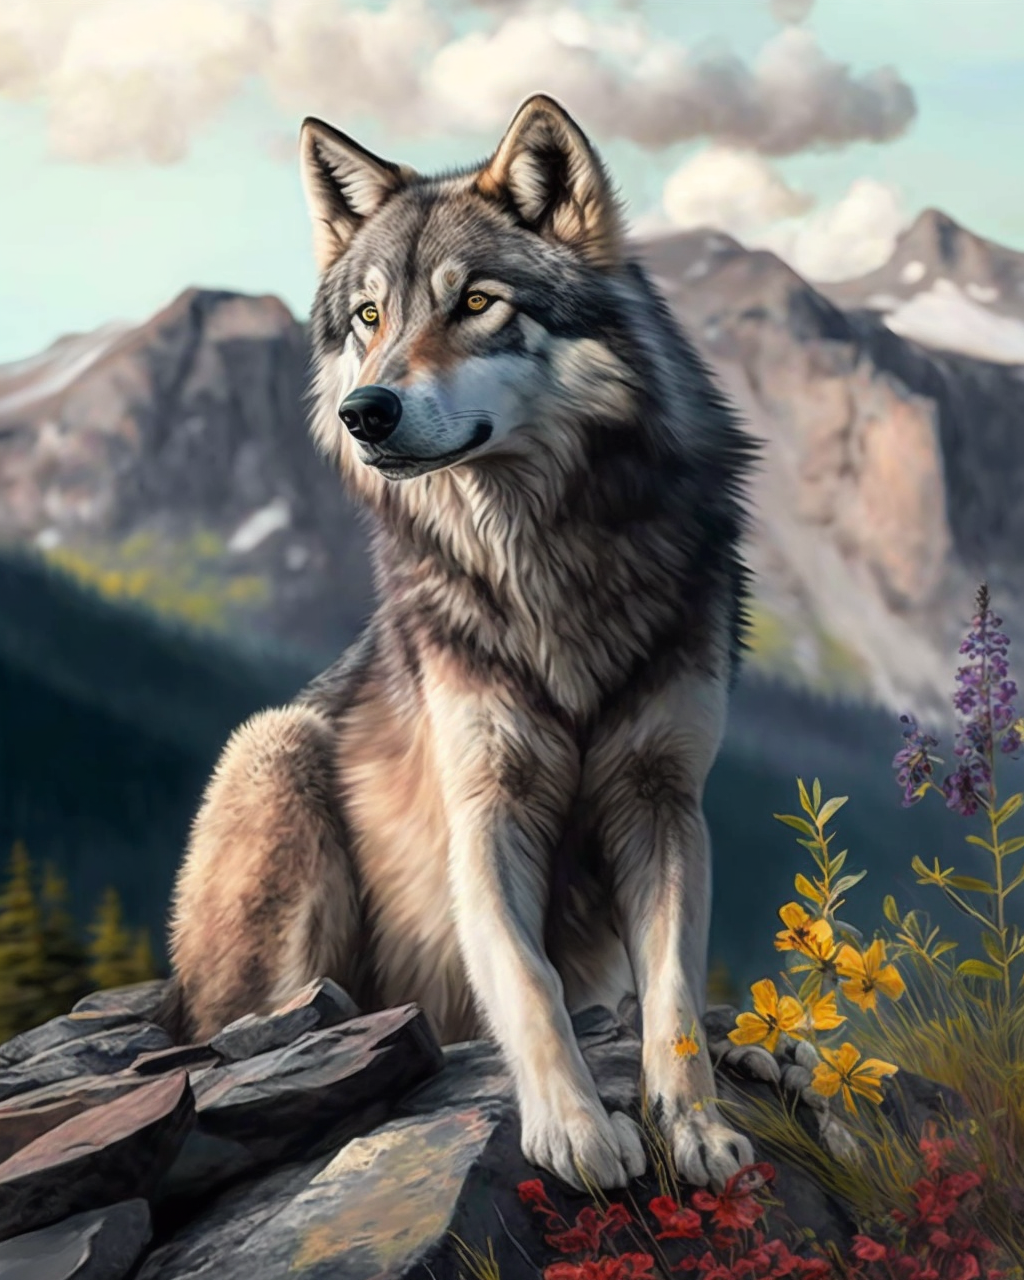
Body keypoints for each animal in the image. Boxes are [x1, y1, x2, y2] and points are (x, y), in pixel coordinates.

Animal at [166, 94, 769, 1192]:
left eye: (478, 303)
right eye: (371, 317)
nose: (366, 412)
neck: (544, 560)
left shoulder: (663, 800)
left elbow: (669, 996)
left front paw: (696, 1129)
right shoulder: (484, 807)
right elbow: (527, 980)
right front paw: (577, 1132)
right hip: (278, 748)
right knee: (259, 1028)